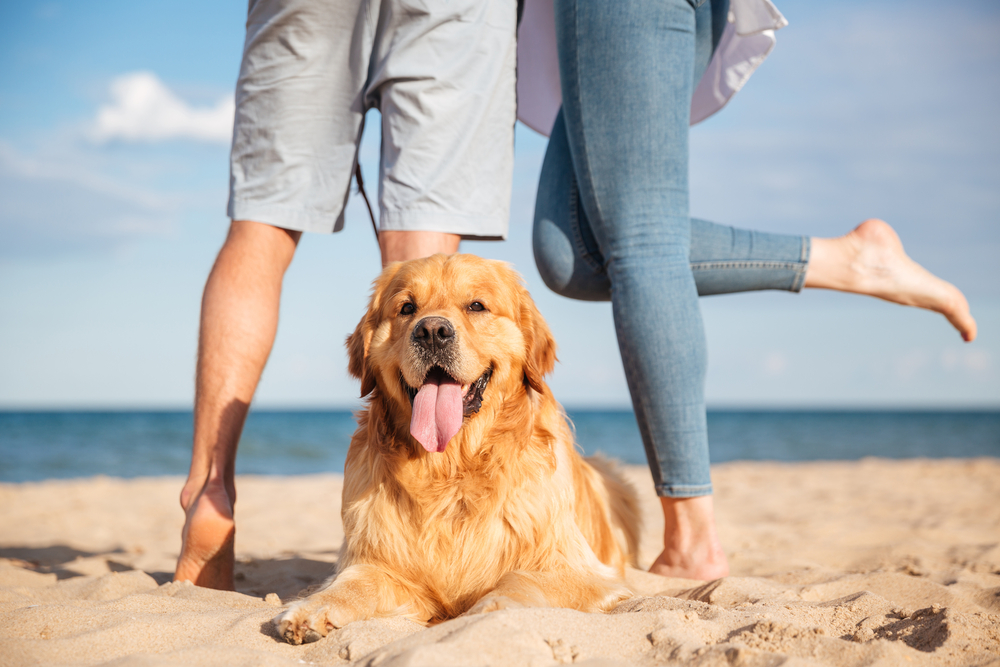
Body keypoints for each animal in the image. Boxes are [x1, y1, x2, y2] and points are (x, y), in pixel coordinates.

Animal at [272, 253, 640, 644]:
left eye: (476, 306)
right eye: (407, 308)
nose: (432, 331)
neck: (452, 468)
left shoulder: (584, 570)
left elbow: (520, 579)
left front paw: (488, 611)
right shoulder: (383, 560)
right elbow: (355, 581)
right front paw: (312, 608)